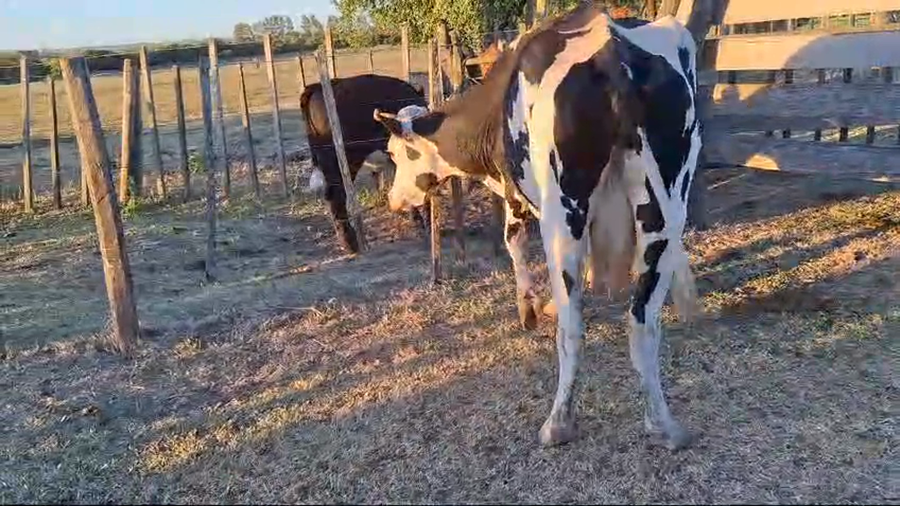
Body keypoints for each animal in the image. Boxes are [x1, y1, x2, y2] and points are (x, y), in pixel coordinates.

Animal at [373, 4, 702, 450]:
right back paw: (662, 424)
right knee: (643, 320)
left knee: (572, 326)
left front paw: (528, 308)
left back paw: (558, 423)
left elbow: (513, 243)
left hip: (560, 214)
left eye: (395, 153)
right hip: (665, 204)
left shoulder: (514, 194)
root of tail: (610, 50)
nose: (393, 200)